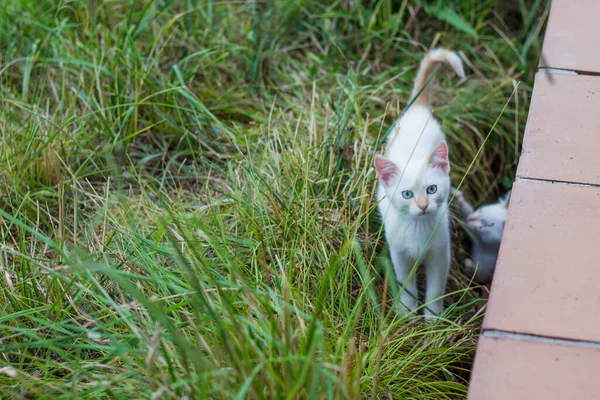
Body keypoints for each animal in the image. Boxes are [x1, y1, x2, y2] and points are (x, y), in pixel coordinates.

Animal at [376, 47, 464, 318]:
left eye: (431, 189)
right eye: (407, 194)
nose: (424, 205)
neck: (418, 229)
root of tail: (418, 110)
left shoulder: (441, 254)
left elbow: (435, 287)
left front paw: (432, 318)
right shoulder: (399, 254)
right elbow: (406, 284)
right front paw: (406, 313)